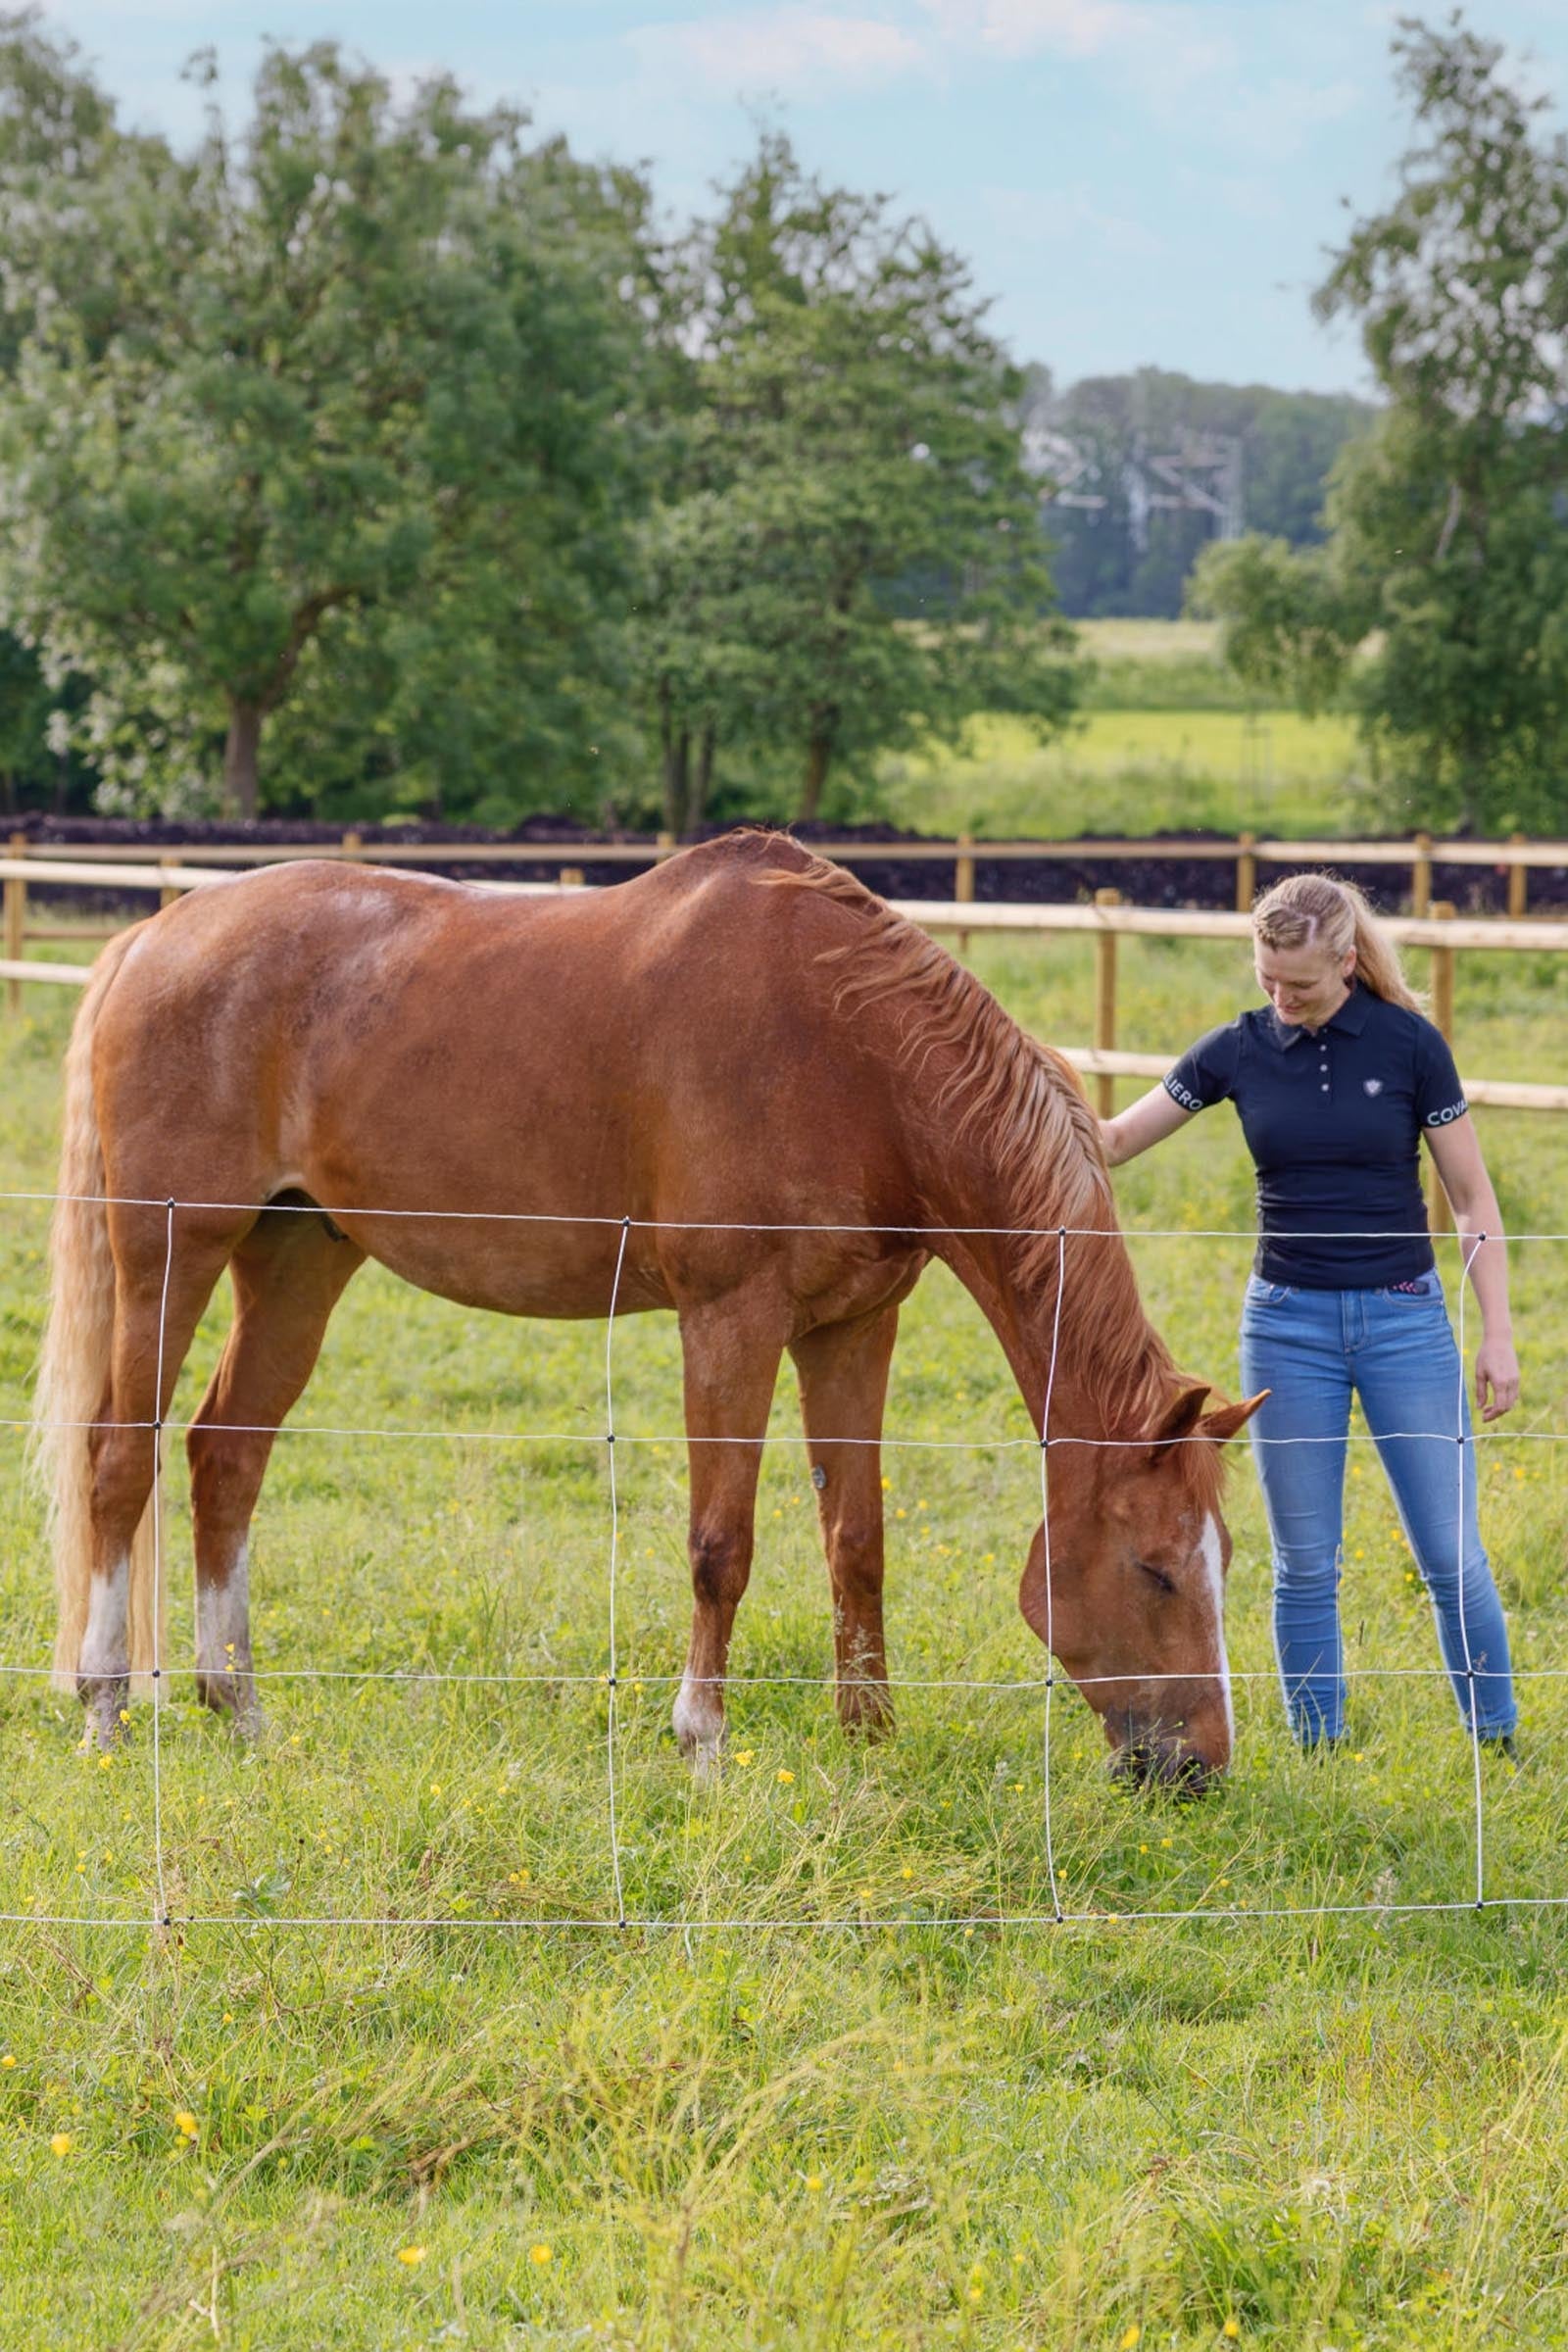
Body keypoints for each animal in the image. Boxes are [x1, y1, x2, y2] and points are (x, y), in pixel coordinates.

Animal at [32, 830, 1262, 1786]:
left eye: (1225, 1560)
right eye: (1155, 1567)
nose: (1199, 1766)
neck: (853, 1058)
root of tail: (153, 938)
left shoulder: (852, 1328)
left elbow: (855, 1536)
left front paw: (869, 1737)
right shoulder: (730, 1320)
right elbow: (723, 1542)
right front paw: (703, 1742)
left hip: (296, 1261)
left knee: (226, 1455)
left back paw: (239, 1709)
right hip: (170, 1253)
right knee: (119, 1458)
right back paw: (104, 1709)